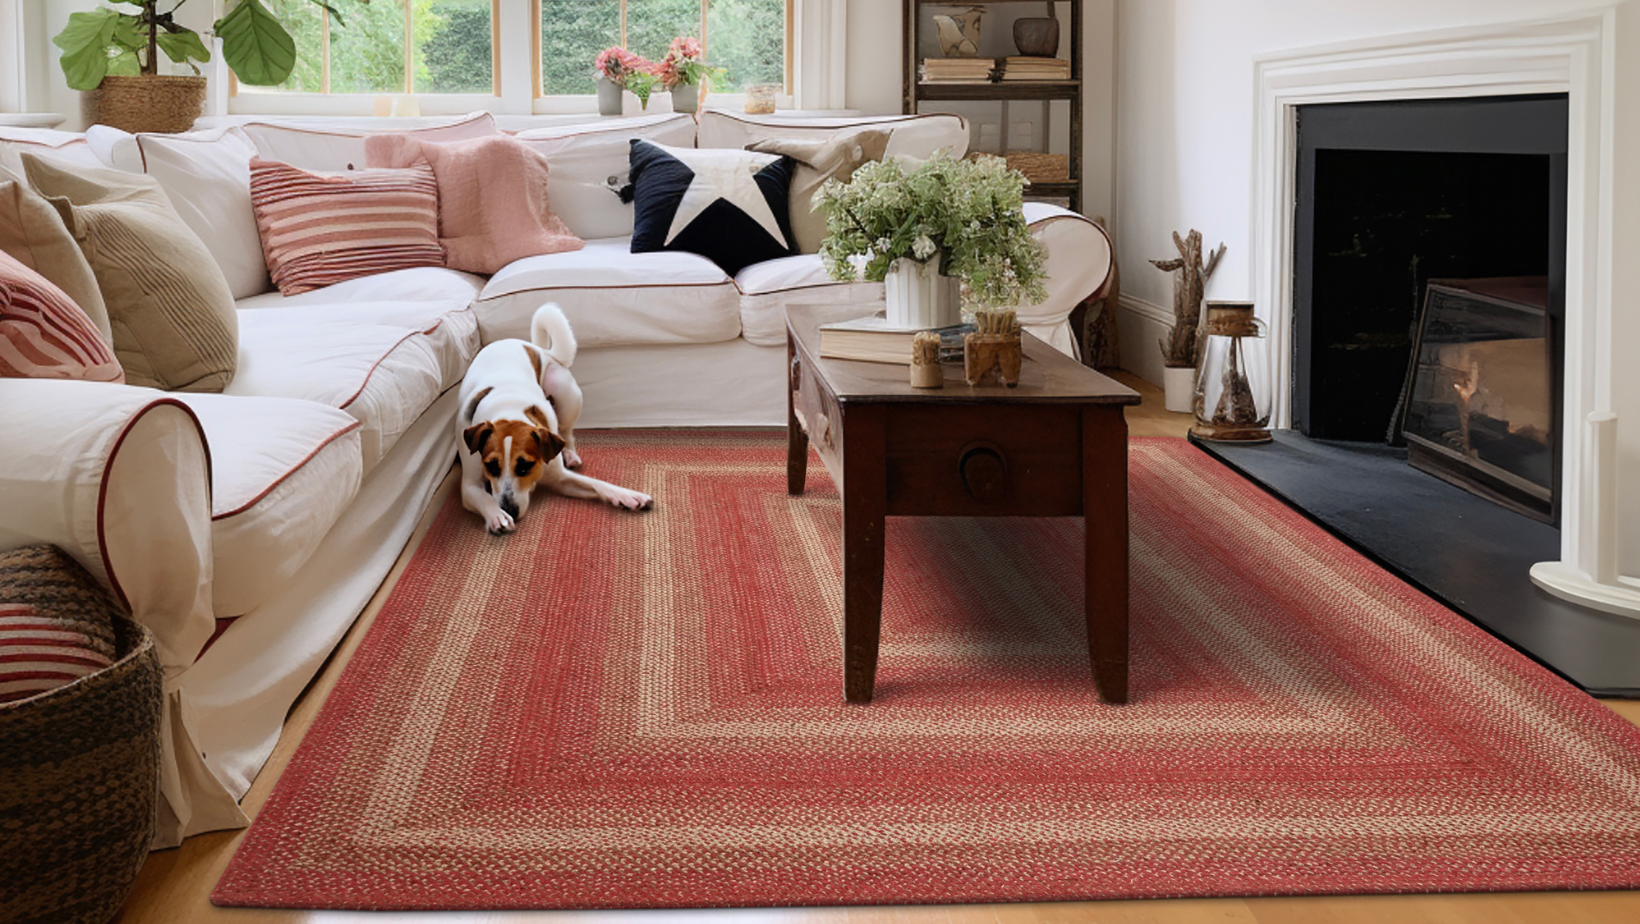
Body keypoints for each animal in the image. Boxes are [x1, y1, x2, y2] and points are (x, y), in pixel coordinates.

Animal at [462, 303, 652, 535]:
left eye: (525, 466)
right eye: (491, 466)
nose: (510, 510)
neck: (508, 406)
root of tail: (538, 348)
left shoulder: (560, 477)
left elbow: (596, 483)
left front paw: (627, 495)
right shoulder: (469, 485)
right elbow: (484, 498)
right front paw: (496, 515)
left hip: (565, 394)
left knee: (567, 433)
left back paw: (570, 454)